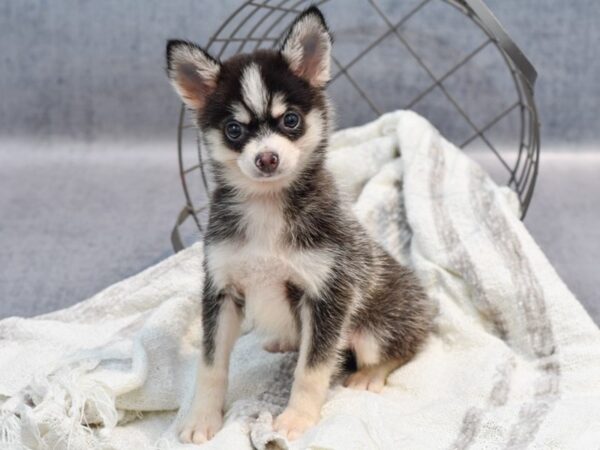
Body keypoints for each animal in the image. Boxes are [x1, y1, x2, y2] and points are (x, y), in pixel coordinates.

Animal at [166, 6, 434, 442]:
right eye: (234, 130)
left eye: (290, 120)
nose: (267, 158)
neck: (267, 207)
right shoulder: (221, 290)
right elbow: (210, 365)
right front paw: (202, 418)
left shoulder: (329, 294)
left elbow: (312, 369)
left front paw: (297, 419)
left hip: (376, 329)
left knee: (399, 349)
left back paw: (369, 374)